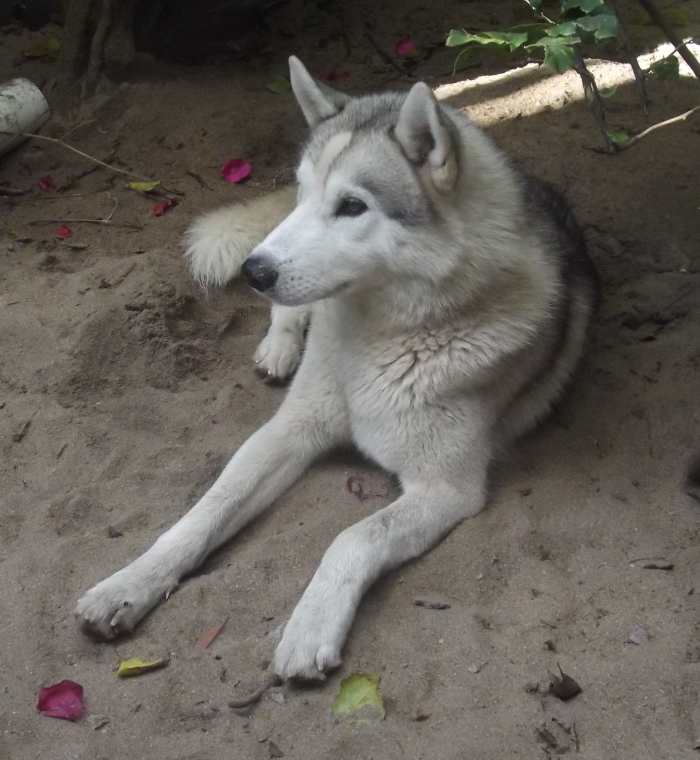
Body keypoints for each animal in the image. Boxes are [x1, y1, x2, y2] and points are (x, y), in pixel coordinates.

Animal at [75, 56, 598, 681]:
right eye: (304, 194)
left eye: (353, 206)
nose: (255, 271)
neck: (372, 346)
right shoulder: (287, 431)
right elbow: (206, 511)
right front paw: (130, 583)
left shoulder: (446, 487)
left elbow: (352, 537)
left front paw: (308, 628)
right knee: (287, 315)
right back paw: (278, 348)